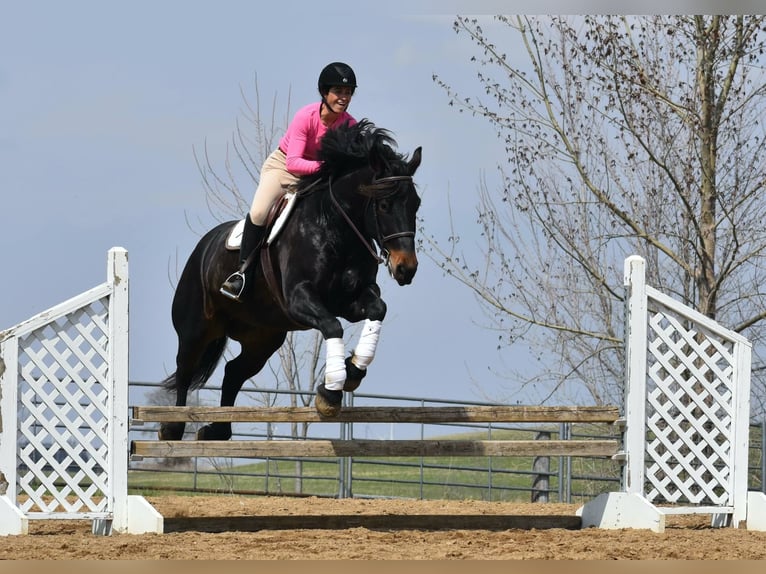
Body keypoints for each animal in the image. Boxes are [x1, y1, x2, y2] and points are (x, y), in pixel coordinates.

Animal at [159, 119, 423, 441]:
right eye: (384, 205)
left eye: (416, 205)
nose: (406, 268)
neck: (335, 228)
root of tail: (203, 247)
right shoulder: (299, 298)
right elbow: (333, 326)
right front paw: (331, 392)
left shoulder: (350, 300)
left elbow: (377, 309)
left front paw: (353, 370)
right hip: (196, 327)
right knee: (185, 369)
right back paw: (173, 427)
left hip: (262, 337)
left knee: (233, 372)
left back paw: (217, 430)